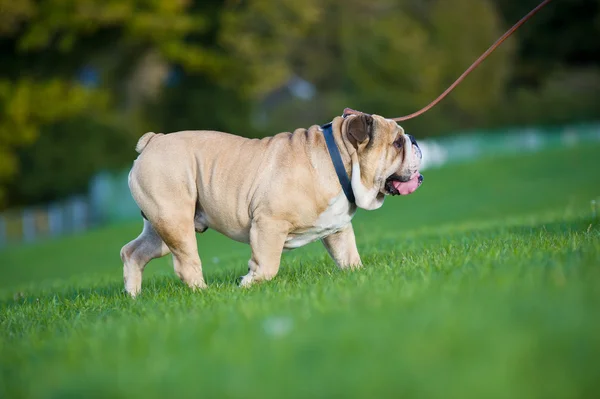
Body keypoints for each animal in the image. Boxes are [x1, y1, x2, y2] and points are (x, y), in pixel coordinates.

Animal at [120, 111, 422, 296]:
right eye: (397, 143)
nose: (414, 140)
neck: (340, 161)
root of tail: (153, 141)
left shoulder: (338, 229)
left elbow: (349, 256)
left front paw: (358, 275)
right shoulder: (269, 224)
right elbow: (267, 266)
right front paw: (247, 284)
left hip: (162, 226)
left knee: (133, 252)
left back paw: (133, 296)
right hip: (175, 219)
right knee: (185, 262)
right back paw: (204, 294)